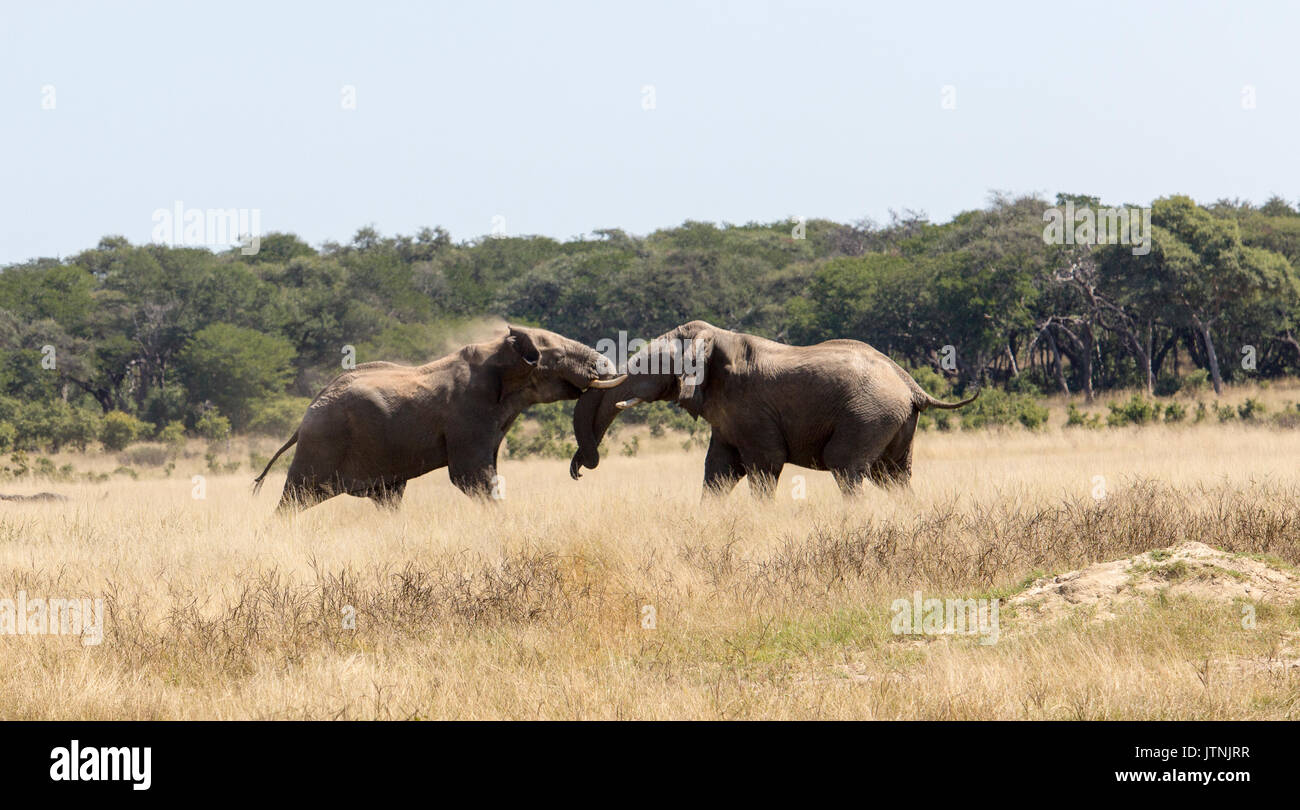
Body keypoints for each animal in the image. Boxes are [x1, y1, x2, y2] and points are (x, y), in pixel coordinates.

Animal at [250, 325, 626, 509]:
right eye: (559, 356)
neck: (501, 354)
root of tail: (304, 417)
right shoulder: (468, 415)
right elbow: (471, 477)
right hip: (322, 443)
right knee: (294, 499)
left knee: (388, 497)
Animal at [569, 319, 977, 496]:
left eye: (649, 365)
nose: (579, 472)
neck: (714, 338)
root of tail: (911, 384)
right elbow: (718, 471)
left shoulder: (752, 408)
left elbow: (764, 464)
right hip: (895, 421)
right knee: (893, 475)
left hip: (869, 414)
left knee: (846, 466)